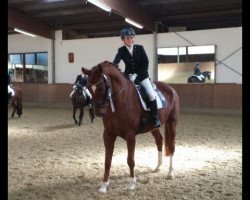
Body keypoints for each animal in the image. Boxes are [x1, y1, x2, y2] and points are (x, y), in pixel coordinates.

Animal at [83, 61, 179, 194]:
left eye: (101, 87)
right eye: (88, 88)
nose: (99, 112)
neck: (120, 100)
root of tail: (171, 88)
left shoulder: (130, 136)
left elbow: (130, 160)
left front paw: (132, 184)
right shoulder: (108, 134)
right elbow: (107, 161)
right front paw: (104, 186)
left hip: (172, 123)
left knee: (172, 146)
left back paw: (170, 173)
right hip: (153, 127)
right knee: (159, 140)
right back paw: (158, 167)